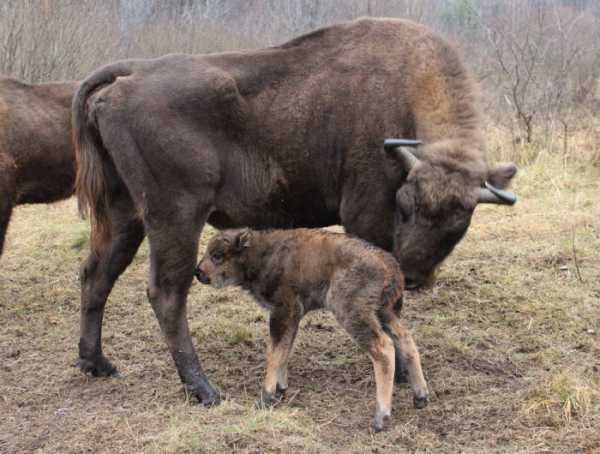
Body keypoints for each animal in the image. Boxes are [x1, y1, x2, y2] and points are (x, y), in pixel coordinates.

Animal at [74, 18, 516, 404]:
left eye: (460, 221)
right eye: (404, 205)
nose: (413, 276)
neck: (408, 90)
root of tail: (131, 73)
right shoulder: (367, 220)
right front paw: (405, 375)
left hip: (125, 213)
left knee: (97, 275)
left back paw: (96, 363)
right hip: (176, 216)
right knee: (167, 293)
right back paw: (204, 389)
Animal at [196, 229, 426, 430]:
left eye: (217, 256)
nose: (198, 272)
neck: (262, 254)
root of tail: (391, 266)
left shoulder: (282, 311)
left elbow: (274, 352)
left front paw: (266, 397)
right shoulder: (291, 317)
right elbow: (284, 350)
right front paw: (280, 390)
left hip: (354, 314)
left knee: (384, 349)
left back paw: (380, 418)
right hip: (385, 312)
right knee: (405, 339)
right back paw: (421, 397)